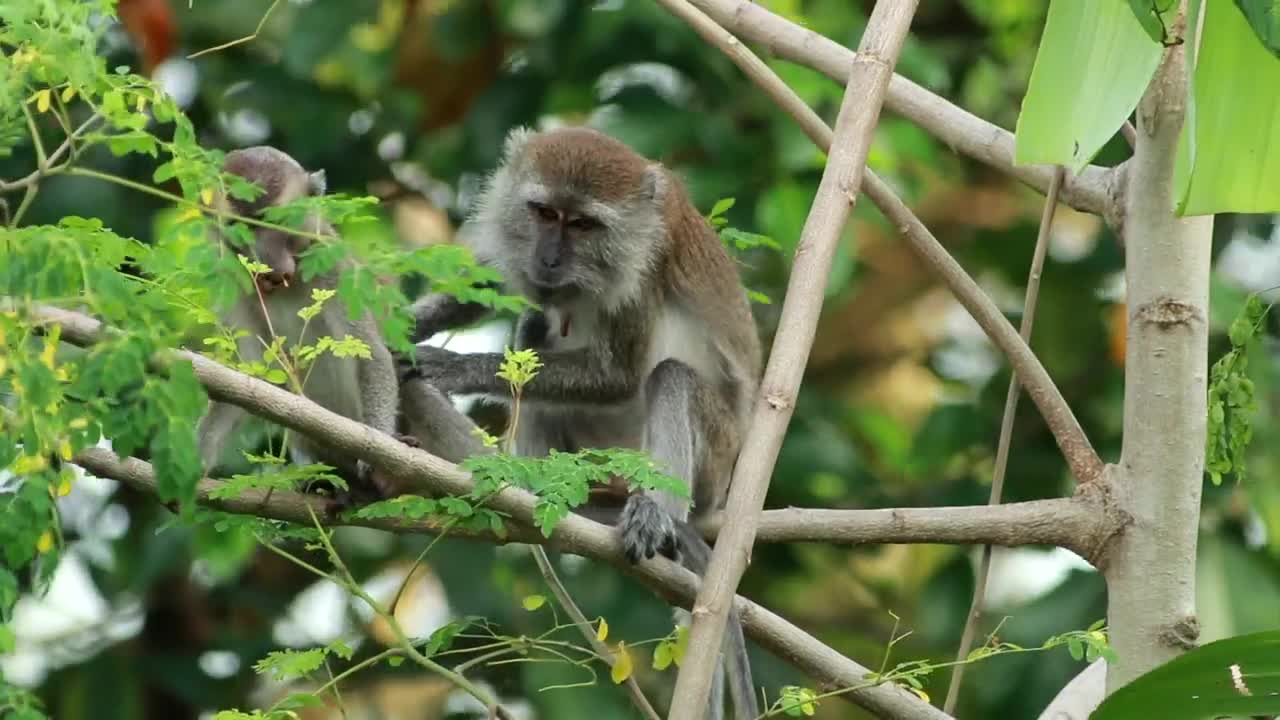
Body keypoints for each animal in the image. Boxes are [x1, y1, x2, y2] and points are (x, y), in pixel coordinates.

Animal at [195, 145, 482, 505]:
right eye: (239, 228)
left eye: (277, 222)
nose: (269, 267)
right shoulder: (231, 278)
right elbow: (250, 373)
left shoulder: (334, 266)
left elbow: (372, 353)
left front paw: (379, 450)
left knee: (411, 384)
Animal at [400, 126, 762, 719]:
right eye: (545, 213)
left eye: (584, 225)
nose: (548, 260)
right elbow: (489, 287)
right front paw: (407, 321)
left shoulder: (644, 269)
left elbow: (620, 376)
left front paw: (449, 367)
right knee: (535, 325)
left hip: (714, 459)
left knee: (670, 377)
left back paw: (655, 515)